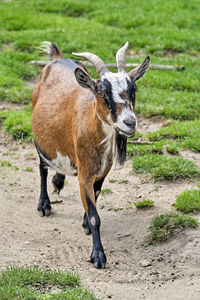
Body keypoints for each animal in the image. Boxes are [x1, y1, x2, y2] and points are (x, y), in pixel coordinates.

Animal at [31, 41, 150, 268]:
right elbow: (96, 217)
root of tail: (57, 58)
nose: (130, 122)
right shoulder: (85, 174)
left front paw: (85, 222)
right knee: (42, 166)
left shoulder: (101, 173)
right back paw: (44, 204)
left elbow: (94, 199)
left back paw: (58, 181)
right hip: (38, 138)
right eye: (102, 92)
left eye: (134, 89)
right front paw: (98, 256)